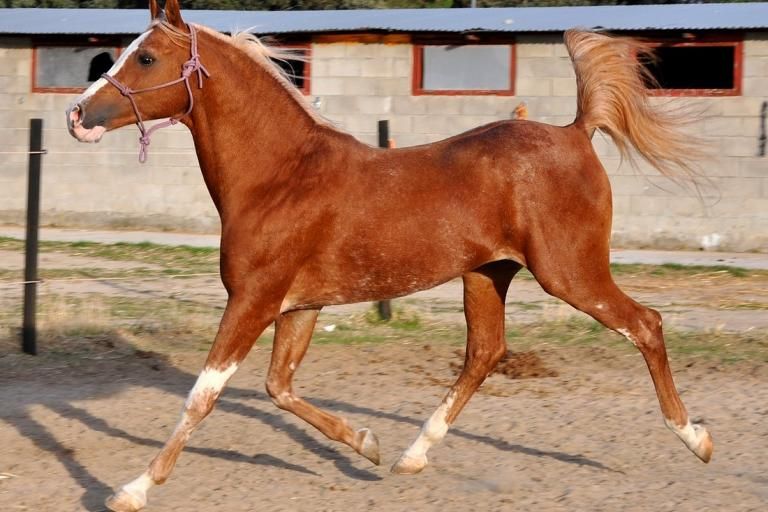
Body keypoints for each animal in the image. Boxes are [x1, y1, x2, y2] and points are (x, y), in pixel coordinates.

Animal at [66, 1, 712, 511]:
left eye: (146, 59)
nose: (77, 116)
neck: (281, 177)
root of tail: (577, 133)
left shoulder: (253, 300)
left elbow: (203, 395)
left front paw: (131, 490)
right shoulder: (298, 306)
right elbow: (279, 388)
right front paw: (367, 444)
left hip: (570, 272)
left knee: (645, 324)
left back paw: (696, 438)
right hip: (487, 274)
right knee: (485, 352)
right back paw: (410, 455)